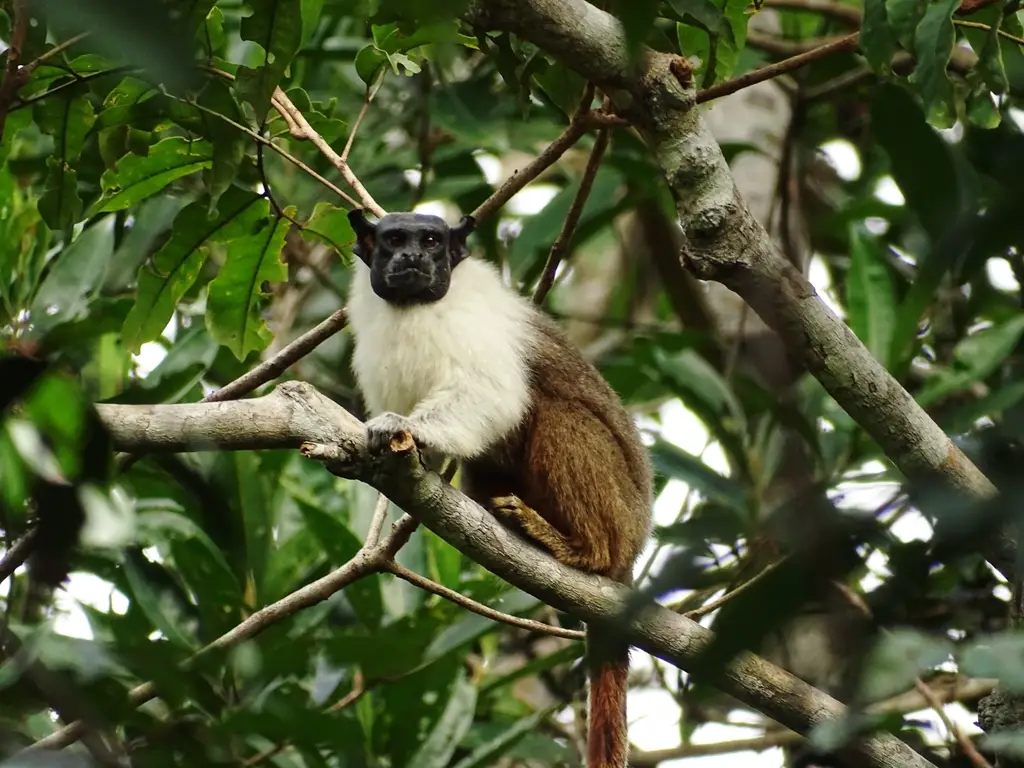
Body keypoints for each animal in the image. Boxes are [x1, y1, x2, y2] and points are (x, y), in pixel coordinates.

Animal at [344, 210, 647, 768]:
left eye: (430, 241)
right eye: (393, 241)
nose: (412, 258)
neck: (414, 310)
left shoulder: (472, 326)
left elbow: (493, 394)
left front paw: (407, 430)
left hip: (620, 509)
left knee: (552, 413)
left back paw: (581, 548)